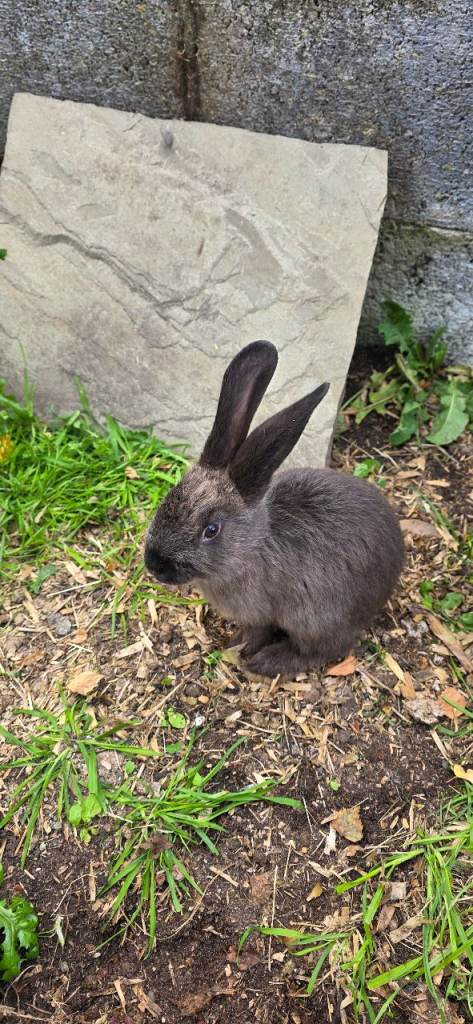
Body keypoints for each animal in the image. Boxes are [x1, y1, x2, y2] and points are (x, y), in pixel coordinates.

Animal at [144, 340, 404, 678]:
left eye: (211, 530)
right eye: (170, 496)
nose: (154, 564)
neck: (250, 548)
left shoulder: (261, 614)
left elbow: (256, 632)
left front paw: (236, 647)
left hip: (316, 620)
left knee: (326, 649)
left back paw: (268, 662)